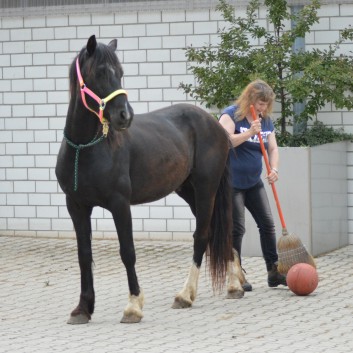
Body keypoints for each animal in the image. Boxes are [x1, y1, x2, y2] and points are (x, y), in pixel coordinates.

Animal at [55, 35, 242, 324]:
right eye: (100, 72)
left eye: (120, 73)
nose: (125, 116)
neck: (84, 149)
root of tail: (216, 125)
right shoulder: (76, 206)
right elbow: (84, 255)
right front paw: (83, 308)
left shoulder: (120, 204)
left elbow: (127, 252)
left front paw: (133, 305)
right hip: (188, 191)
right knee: (219, 233)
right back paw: (231, 286)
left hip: (206, 189)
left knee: (203, 235)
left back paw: (187, 294)